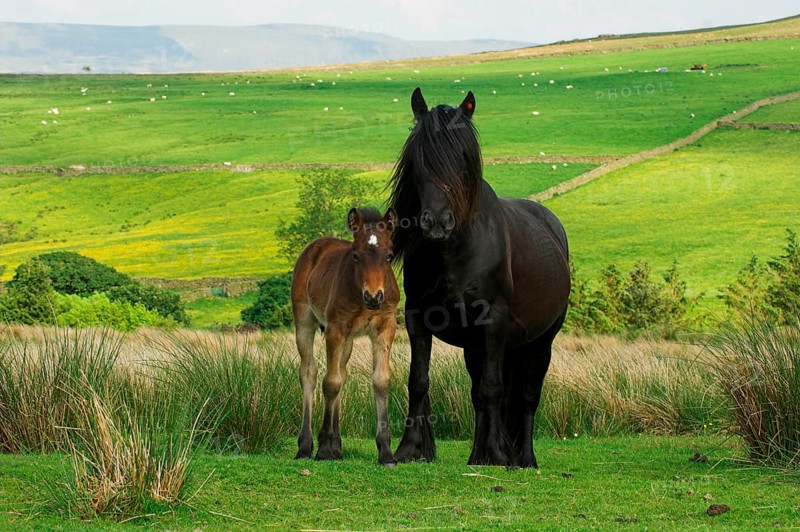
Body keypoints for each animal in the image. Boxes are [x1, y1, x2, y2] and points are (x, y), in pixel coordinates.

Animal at [291, 207, 400, 466]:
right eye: (356, 255)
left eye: (389, 255)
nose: (374, 297)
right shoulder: (335, 328)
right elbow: (330, 383)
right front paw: (323, 449)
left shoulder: (386, 327)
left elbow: (380, 381)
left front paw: (386, 452)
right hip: (304, 321)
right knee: (309, 373)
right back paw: (306, 446)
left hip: (349, 340)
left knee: (342, 372)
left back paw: (337, 447)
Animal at [387, 88, 571, 468]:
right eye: (419, 157)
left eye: (462, 158)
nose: (437, 222)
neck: (454, 252)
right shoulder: (418, 319)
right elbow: (419, 381)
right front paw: (410, 449)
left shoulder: (493, 321)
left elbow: (493, 389)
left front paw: (497, 455)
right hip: (482, 346)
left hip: (540, 342)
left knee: (526, 397)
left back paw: (523, 457)